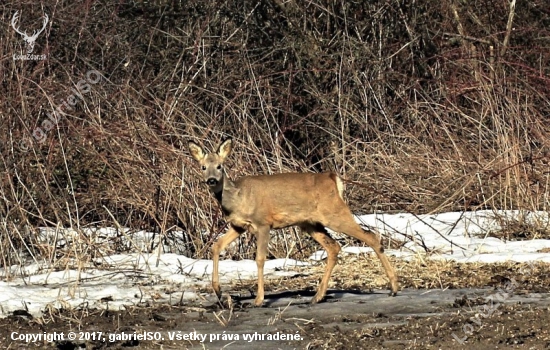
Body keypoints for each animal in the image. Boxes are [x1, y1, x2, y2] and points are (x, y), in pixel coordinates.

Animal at [191, 138, 402, 304]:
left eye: (220, 166)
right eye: (203, 167)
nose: (211, 180)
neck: (237, 198)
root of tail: (333, 177)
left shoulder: (263, 223)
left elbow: (260, 259)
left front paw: (259, 299)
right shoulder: (238, 226)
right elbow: (216, 246)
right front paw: (219, 292)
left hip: (335, 214)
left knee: (371, 236)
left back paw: (393, 288)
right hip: (310, 223)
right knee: (334, 247)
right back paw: (317, 296)